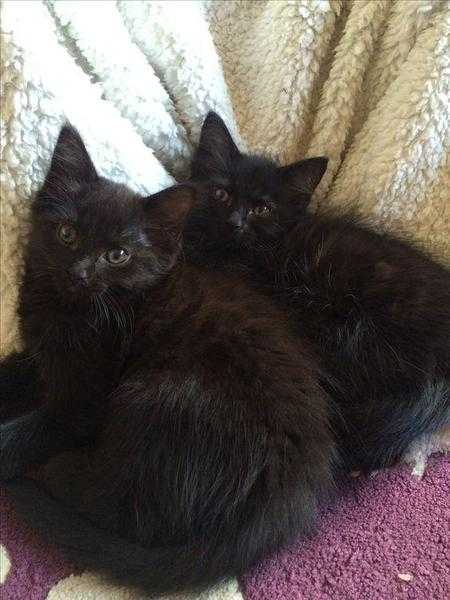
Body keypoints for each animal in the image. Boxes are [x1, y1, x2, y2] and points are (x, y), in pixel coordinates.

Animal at [0, 125, 338, 596]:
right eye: (67, 234)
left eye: (118, 255)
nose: (79, 273)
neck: (70, 308)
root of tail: (289, 495)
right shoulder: (44, 358)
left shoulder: (81, 402)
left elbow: (33, 430)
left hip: (154, 393)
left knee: (126, 509)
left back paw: (57, 473)